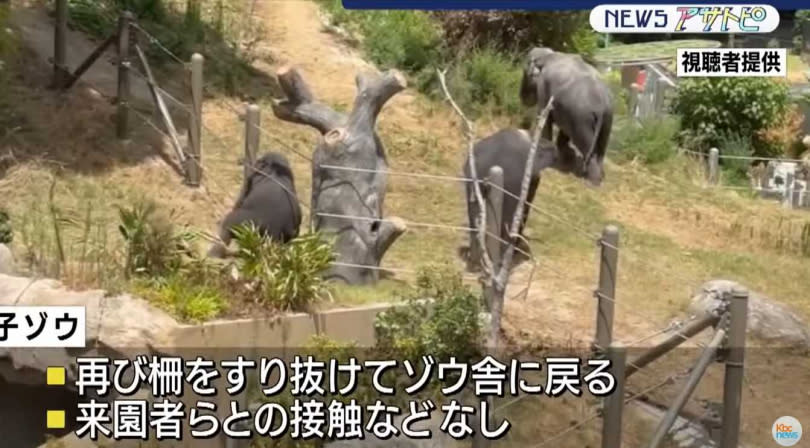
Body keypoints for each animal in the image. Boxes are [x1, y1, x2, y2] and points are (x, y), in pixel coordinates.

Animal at [520, 45, 608, 186]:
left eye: (525, 70)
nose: (523, 99)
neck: (549, 55)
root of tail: (602, 103)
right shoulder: (567, 110)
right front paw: (565, 153)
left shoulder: (543, 86)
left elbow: (544, 116)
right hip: (606, 119)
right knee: (601, 147)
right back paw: (597, 176)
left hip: (582, 118)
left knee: (585, 143)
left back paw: (591, 183)